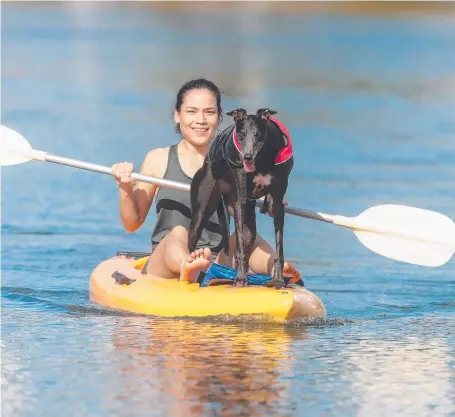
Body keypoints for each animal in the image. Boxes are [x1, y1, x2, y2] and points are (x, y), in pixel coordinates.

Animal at [189, 107, 296, 290]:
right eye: (241, 133)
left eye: (258, 134)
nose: (247, 157)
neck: (262, 161)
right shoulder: (240, 199)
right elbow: (238, 248)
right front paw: (239, 279)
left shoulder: (278, 202)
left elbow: (279, 247)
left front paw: (279, 280)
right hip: (201, 210)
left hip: (247, 226)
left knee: (247, 240)